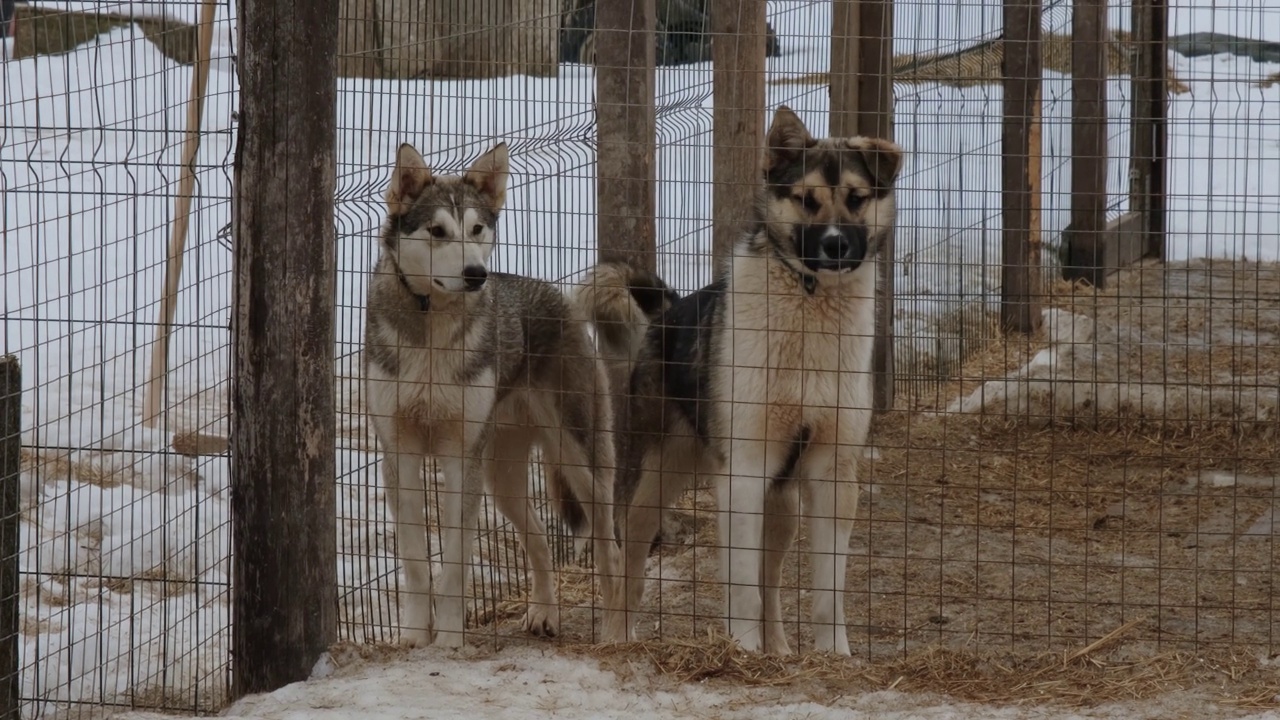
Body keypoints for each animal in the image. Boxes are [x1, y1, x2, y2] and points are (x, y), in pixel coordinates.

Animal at [363, 140, 622, 645]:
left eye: (476, 229)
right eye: (437, 231)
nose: (476, 274)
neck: (431, 328)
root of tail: (558, 297)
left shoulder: (459, 458)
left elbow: (454, 565)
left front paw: (448, 640)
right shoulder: (400, 453)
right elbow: (417, 562)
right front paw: (414, 638)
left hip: (581, 465)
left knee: (611, 550)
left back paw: (617, 631)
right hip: (501, 479)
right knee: (539, 541)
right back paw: (543, 614)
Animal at [576, 106, 906, 650]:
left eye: (856, 198)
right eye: (806, 200)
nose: (835, 245)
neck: (810, 305)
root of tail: (669, 311)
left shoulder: (832, 473)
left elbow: (826, 592)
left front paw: (833, 655)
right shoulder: (745, 472)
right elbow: (742, 589)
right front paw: (744, 651)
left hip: (782, 506)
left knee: (771, 582)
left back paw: (780, 650)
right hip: (651, 486)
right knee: (630, 572)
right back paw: (617, 638)